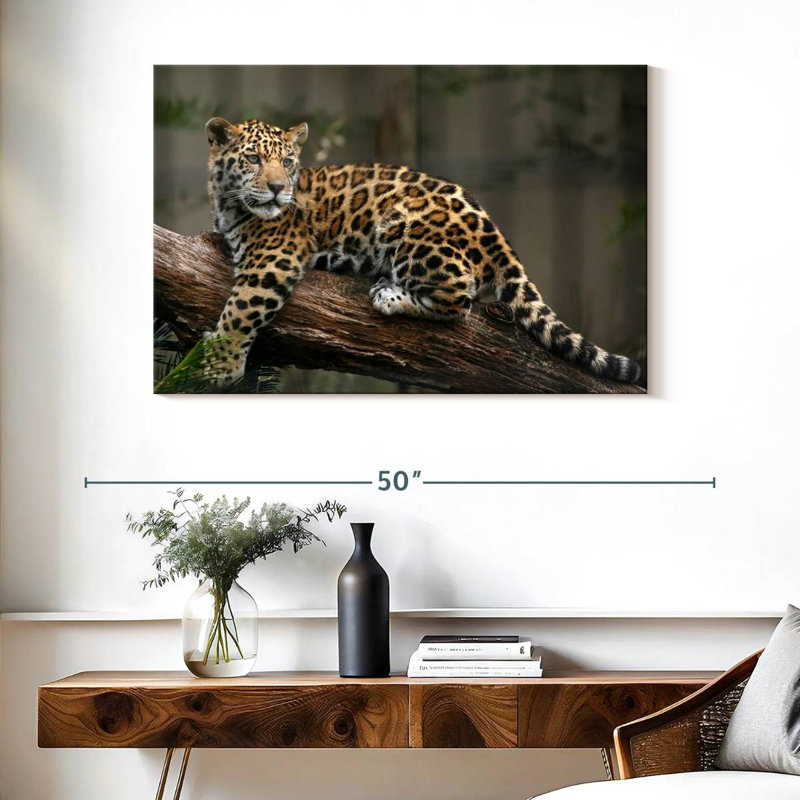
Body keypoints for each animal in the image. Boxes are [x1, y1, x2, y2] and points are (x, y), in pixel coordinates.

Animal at [202, 116, 642, 388]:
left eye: (288, 162)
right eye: (254, 158)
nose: (279, 188)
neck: (228, 203)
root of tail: (494, 230)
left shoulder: (273, 258)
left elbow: (241, 310)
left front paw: (217, 366)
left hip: (408, 229)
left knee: (460, 298)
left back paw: (390, 294)